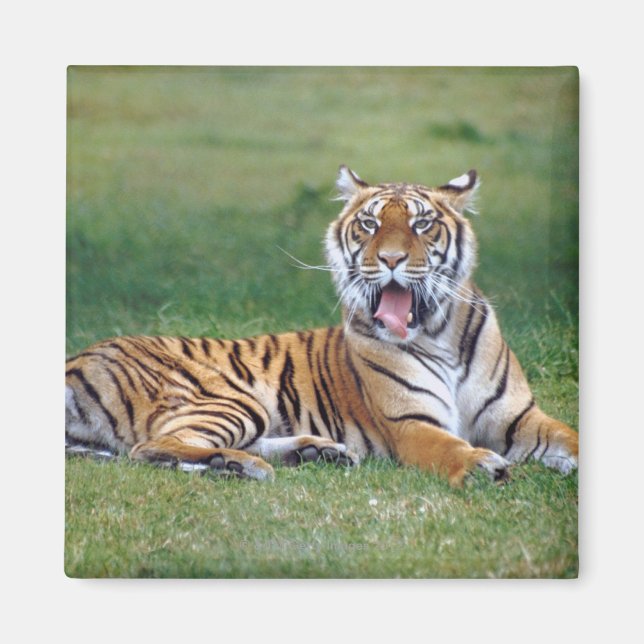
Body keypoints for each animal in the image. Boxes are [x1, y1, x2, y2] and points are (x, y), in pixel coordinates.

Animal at [65, 166, 579, 486]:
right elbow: (448, 448)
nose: (390, 259)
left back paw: (316, 452)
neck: (440, 333)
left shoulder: (520, 418)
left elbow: (570, 436)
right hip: (229, 397)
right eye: (369, 224)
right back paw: (238, 465)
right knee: (154, 446)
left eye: (422, 224)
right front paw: (479, 465)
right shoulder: (413, 423)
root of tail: (75, 360)